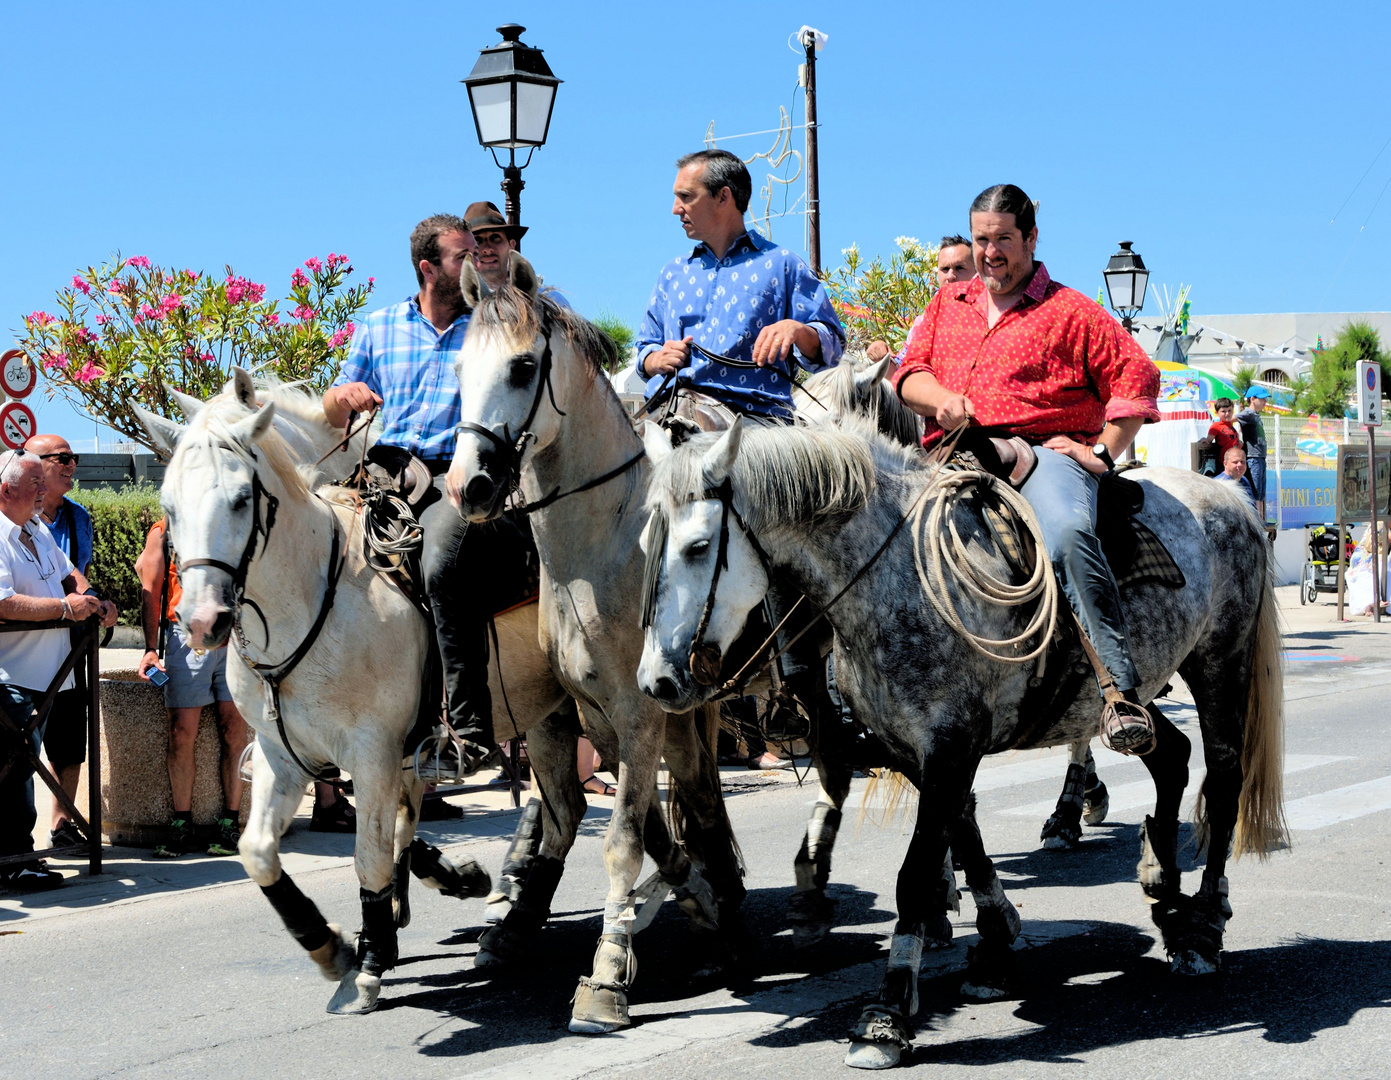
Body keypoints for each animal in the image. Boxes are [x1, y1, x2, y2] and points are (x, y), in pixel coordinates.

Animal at [135, 370, 581, 1013]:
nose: (199, 623)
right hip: (547, 712)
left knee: (572, 810)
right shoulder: (280, 754)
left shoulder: (375, 753)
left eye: (242, 499)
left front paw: (370, 959)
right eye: (169, 507)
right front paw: (332, 945)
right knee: (561, 810)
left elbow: (373, 851)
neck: (313, 599)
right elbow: (259, 851)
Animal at [637, 417, 1279, 1068]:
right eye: (644, 547)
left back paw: (1203, 926)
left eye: (697, 547)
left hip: (1220, 662)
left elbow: (917, 872)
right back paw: (1165, 893)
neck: (897, 579)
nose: (658, 681)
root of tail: (1230, 497)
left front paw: (886, 1014)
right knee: (1172, 758)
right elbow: (962, 836)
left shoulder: (948, 745)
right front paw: (994, 949)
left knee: (1224, 778)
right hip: (1139, 689)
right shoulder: (917, 751)